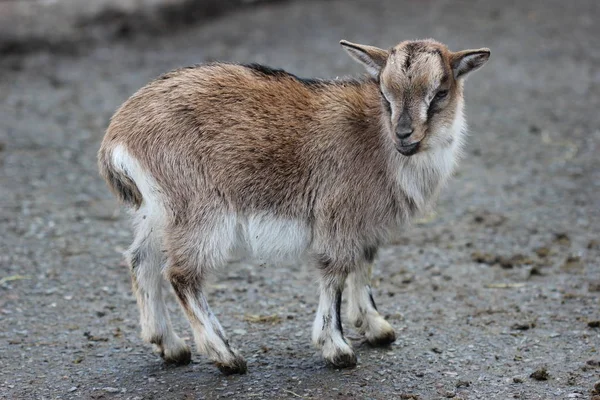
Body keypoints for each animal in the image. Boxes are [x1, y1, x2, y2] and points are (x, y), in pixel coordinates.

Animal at [98, 39, 490, 374]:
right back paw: (226, 356)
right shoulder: (338, 214)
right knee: (181, 275)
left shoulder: (365, 223)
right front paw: (337, 349)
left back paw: (171, 346)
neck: (377, 140)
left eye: (440, 92)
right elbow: (335, 272)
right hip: (200, 208)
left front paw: (376, 327)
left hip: (159, 210)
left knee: (141, 261)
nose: (404, 135)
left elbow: (363, 264)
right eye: (384, 91)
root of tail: (118, 135)